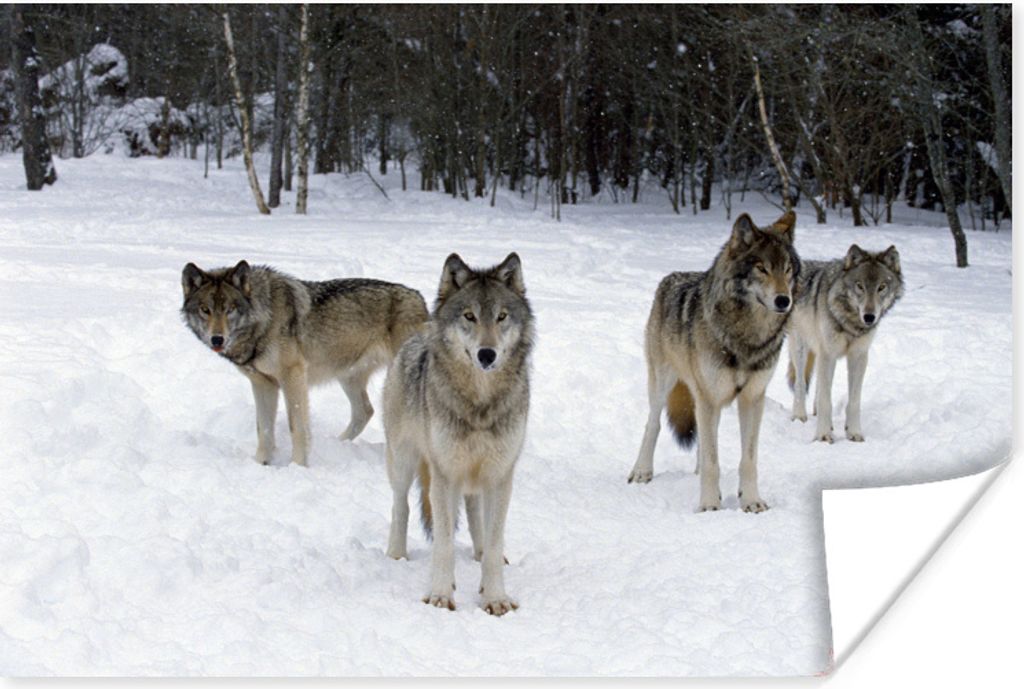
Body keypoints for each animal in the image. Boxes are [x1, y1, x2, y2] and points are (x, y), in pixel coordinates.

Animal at [180, 260, 428, 467]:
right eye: (205, 310)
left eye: (230, 309)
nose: (217, 339)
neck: (264, 319)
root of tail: (420, 298)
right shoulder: (263, 383)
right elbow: (264, 428)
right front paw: (261, 463)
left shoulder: (293, 376)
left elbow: (297, 427)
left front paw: (298, 466)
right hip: (347, 377)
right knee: (365, 411)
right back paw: (338, 444)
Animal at [383, 252, 533, 616]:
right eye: (469, 316)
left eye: (501, 317)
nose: (487, 354)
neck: (480, 402)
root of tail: (416, 336)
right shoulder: (444, 474)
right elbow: (444, 543)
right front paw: (440, 595)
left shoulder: (500, 474)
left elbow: (493, 541)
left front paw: (494, 597)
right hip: (404, 461)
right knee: (400, 506)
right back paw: (396, 555)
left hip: (475, 475)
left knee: (476, 513)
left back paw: (478, 554)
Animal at [627, 211, 800, 513]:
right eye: (762, 269)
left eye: (788, 269)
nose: (783, 300)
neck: (747, 337)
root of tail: (671, 277)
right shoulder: (709, 396)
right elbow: (712, 462)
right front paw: (708, 505)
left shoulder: (752, 398)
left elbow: (747, 459)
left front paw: (751, 501)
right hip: (664, 384)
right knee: (653, 424)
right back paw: (642, 471)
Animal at [786, 244, 904, 443]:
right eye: (860, 286)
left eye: (881, 287)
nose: (869, 317)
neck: (851, 323)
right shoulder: (828, 354)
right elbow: (826, 400)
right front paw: (823, 435)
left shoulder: (858, 356)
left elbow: (854, 400)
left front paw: (854, 432)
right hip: (801, 348)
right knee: (801, 384)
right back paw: (799, 416)